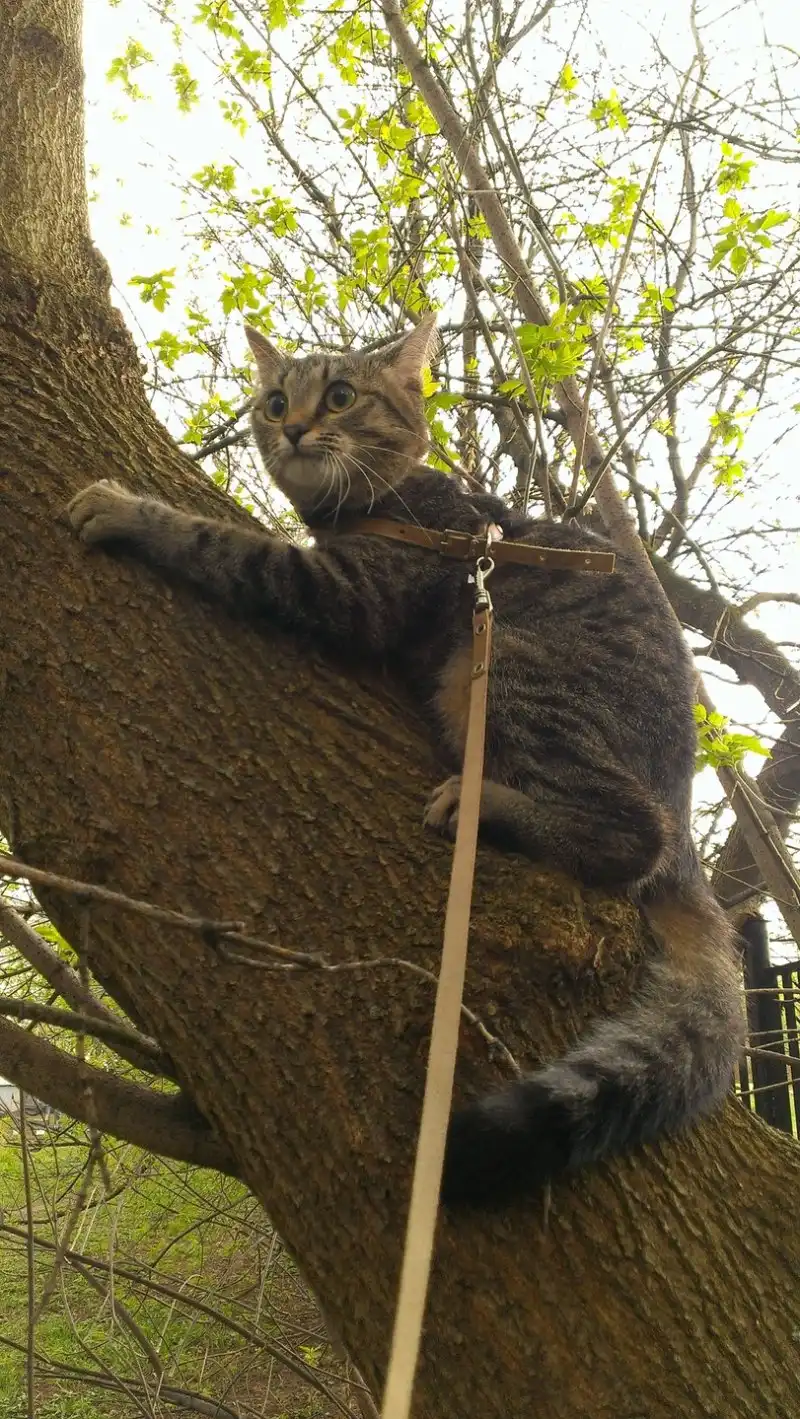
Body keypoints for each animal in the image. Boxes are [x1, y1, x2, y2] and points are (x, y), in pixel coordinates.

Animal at [67, 315, 744, 1208]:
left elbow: (223, 542)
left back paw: (488, 803)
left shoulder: (340, 590)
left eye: (340, 396)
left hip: (512, 671)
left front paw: (126, 509)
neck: (377, 504)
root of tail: (691, 829)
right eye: (275, 400)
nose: (292, 427)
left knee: (634, 837)